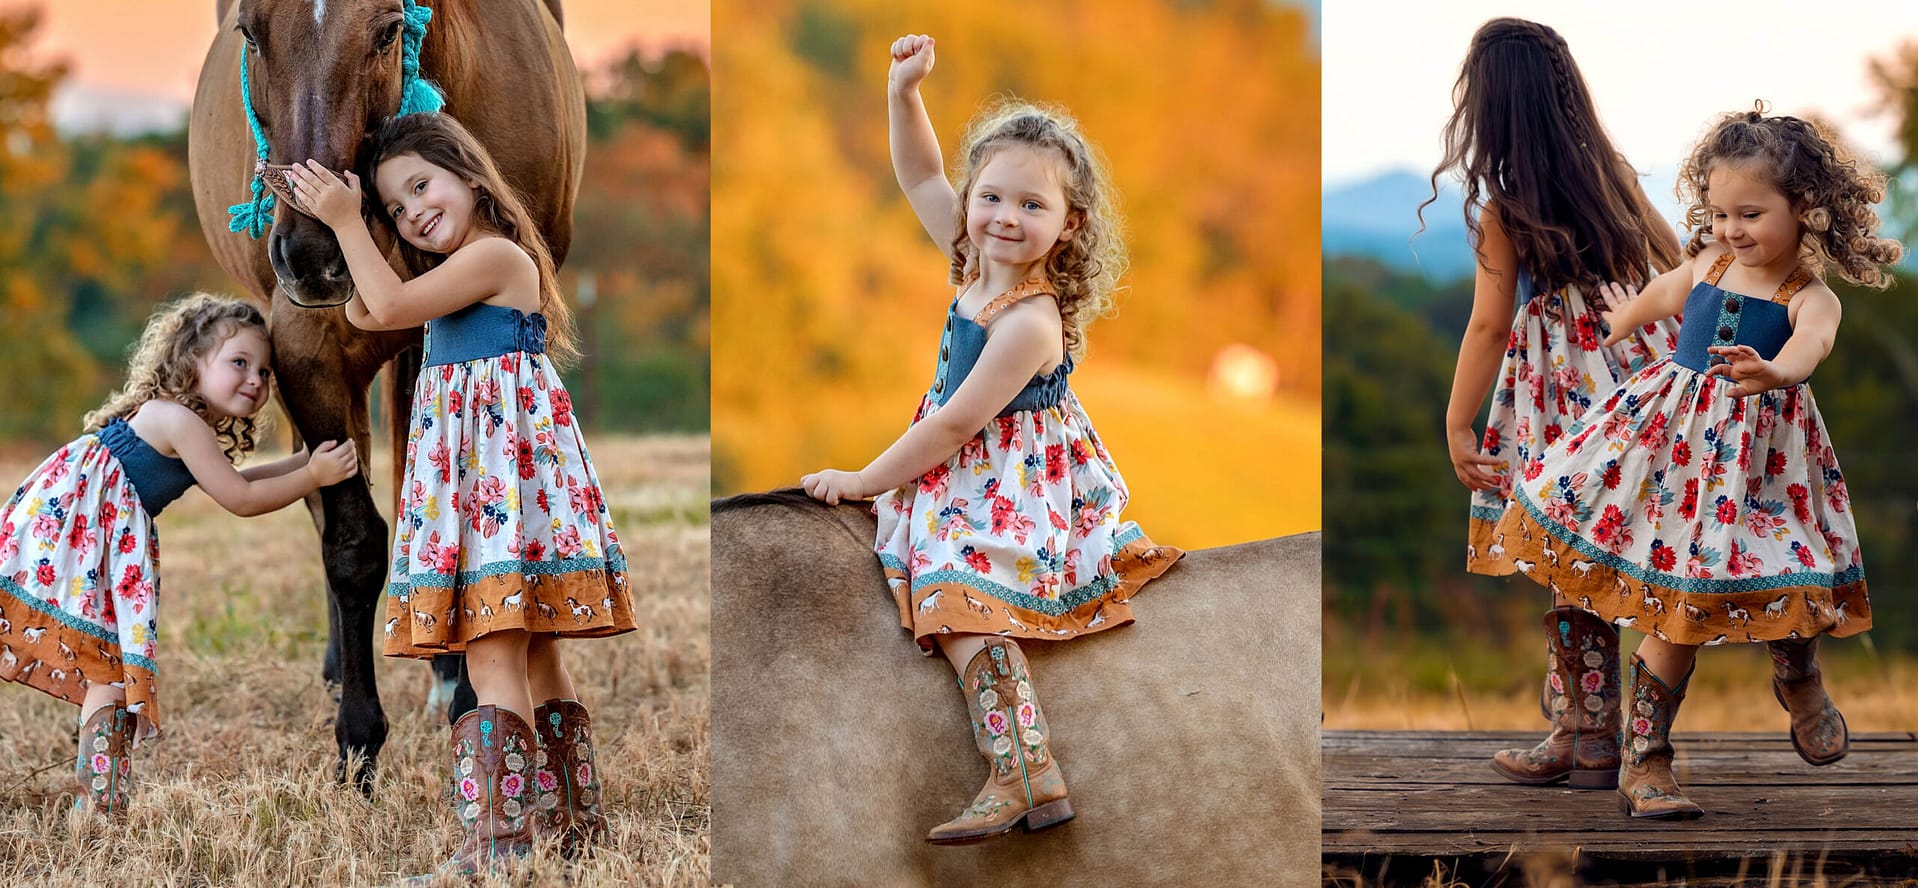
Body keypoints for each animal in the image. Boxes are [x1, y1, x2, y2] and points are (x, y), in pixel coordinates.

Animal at [193, 0, 586, 786]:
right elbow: (349, 540)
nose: (314, 254)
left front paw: (470, 696)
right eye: (250, 30)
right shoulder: (308, 349)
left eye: (385, 30)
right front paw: (358, 740)